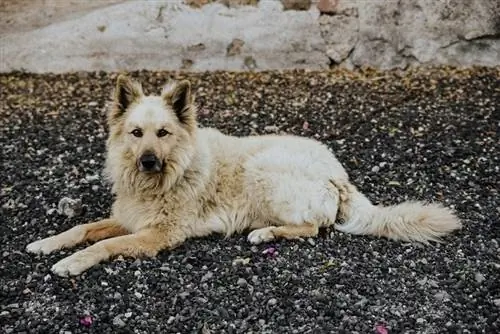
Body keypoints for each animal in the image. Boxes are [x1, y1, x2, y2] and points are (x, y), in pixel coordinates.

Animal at [26, 75, 460, 276]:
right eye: (136, 133)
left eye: (163, 133)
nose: (148, 161)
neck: (166, 176)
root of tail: (340, 174)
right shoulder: (129, 217)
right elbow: (83, 228)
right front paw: (48, 243)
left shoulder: (158, 234)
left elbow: (103, 244)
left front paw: (73, 262)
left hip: (261, 169)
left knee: (312, 228)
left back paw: (264, 233)